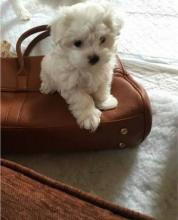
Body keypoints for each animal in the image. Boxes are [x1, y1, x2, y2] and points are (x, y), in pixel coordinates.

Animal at [40, 1, 124, 131]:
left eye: (102, 39)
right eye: (77, 43)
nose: (95, 58)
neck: (88, 69)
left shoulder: (104, 76)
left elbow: (102, 90)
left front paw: (105, 102)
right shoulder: (71, 84)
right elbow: (83, 99)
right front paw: (89, 117)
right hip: (46, 67)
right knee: (47, 78)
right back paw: (47, 87)